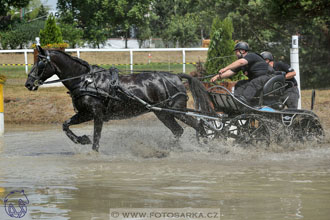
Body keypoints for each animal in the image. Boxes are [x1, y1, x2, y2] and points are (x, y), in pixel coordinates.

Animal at [24, 46, 213, 151]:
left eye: (40, 63)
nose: (28, 83)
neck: (85, 79)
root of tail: (176, 77)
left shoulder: (97, 114)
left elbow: (97, 139)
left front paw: (91, 148)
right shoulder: (85, 113)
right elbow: (66, 125)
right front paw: (82, 139)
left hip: (177, 110)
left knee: (198, 125)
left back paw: (207, 146)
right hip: (163, 113)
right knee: (178, 131)